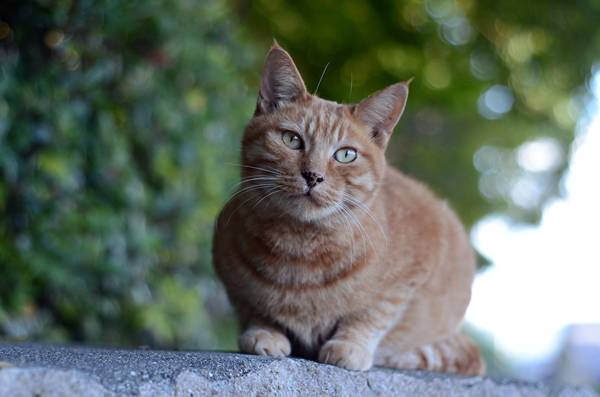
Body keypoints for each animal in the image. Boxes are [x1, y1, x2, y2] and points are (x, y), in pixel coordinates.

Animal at [213, 43, 486, 374]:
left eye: (346, 155)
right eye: (291, 139)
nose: (313, 175)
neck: (299, 247)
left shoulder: (412, 274)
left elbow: (371, 315)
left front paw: (350, 345)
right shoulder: (230, 277)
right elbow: (254, 308)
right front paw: (264, 332)